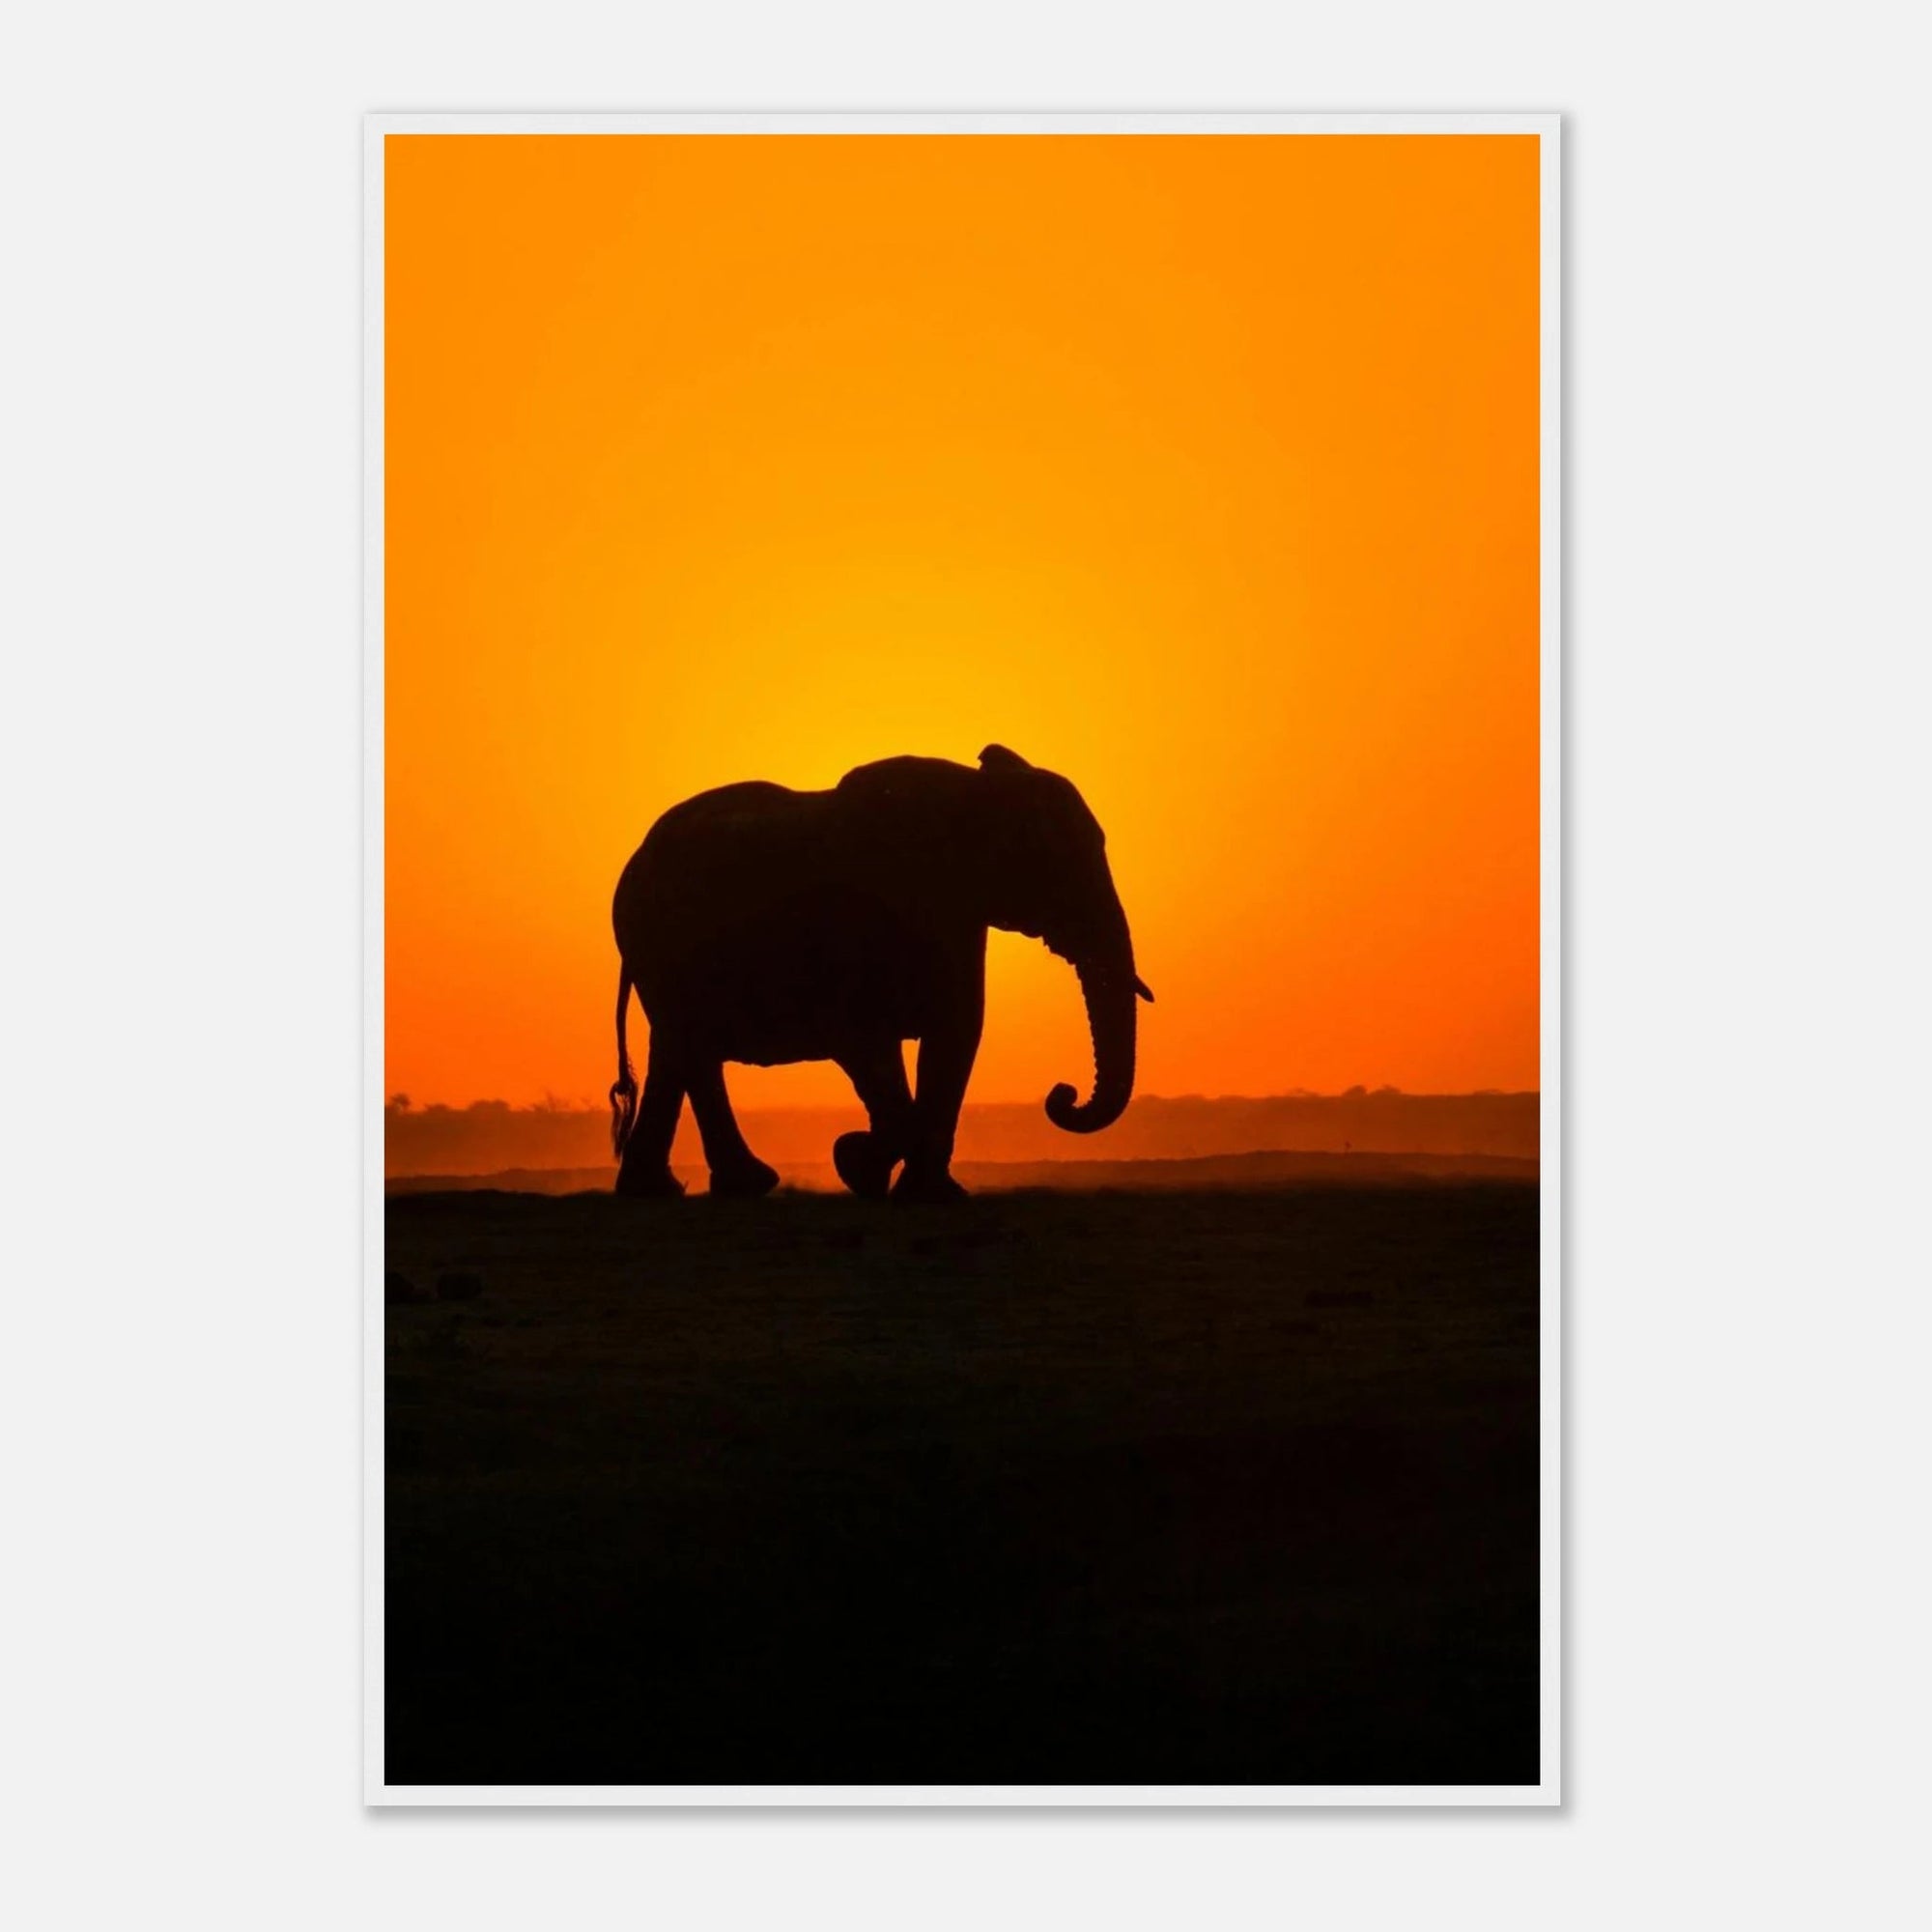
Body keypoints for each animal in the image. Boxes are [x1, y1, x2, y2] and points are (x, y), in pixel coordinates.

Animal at [607, 745, 1152, 1202]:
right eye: (1058, 863)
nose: (1062, 1094)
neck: (974, 793)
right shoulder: (861, 919)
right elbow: (865, 1039)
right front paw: (857, 1163)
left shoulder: (958, 916)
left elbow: (956, 1034)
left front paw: (931, 1195)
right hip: (656, 943)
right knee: (690, 1048)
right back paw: (730, 1186)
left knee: (678, 1050)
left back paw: (677, 1190)